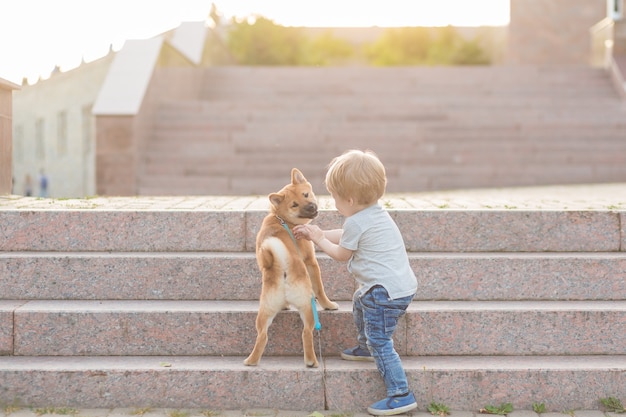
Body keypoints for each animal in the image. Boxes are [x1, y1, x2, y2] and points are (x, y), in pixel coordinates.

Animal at [244, 167, 338, 366]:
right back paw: (311, 361)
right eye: (294, 205)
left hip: (265, 311)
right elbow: (320, 289)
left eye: (306, 194)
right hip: (307, 307)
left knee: (262, 336)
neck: (281, 218)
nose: (311, 207)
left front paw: (285, 307)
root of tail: (282, 268)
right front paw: (329, 305)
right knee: (306, 332)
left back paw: (251, 360)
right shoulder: (311, 261)